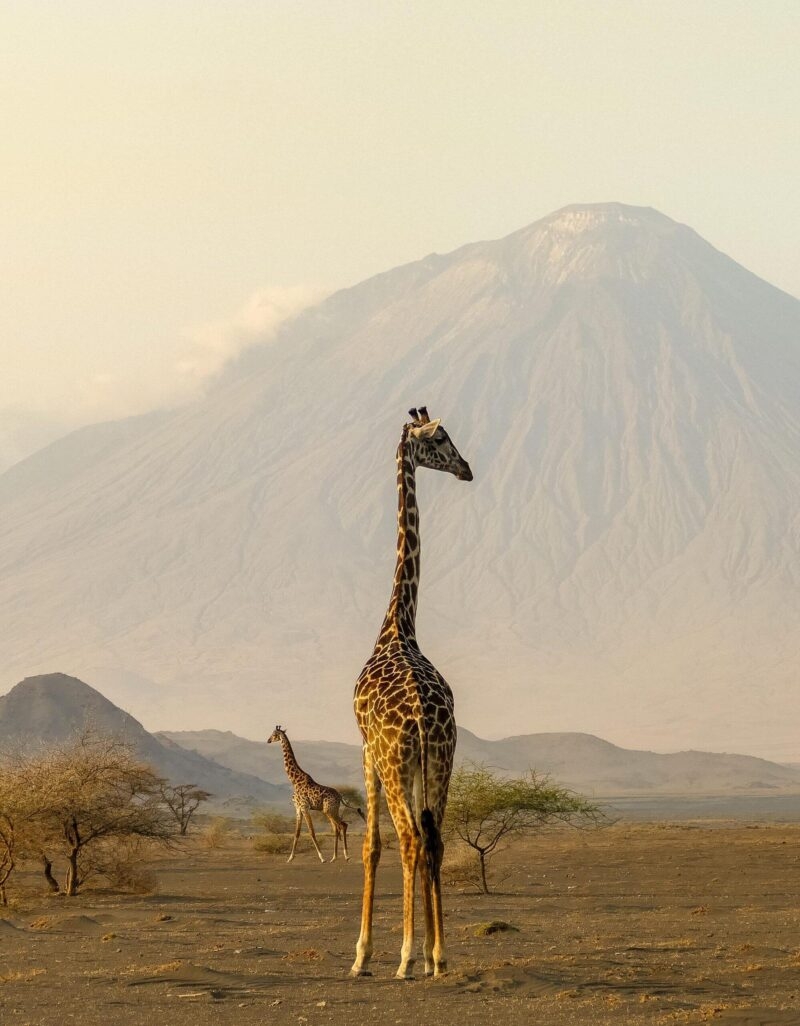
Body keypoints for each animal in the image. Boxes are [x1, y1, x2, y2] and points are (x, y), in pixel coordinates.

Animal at [267, 725, 364, 863]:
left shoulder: (304, 807)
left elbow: (311, 831)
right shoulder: (298, 808)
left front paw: (322, 857)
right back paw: (334, 857)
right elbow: (297, 833)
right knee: (338, 827)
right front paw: (290, 858)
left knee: (342, 825)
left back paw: (345, 856)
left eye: (274, 734)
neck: (294, 780)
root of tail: (340, 796)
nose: (268, 740)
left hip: (329, 810)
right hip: (331, 810)